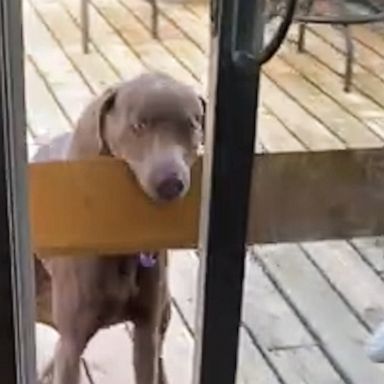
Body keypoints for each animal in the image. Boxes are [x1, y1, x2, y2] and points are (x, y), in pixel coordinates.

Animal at [33, 73, 204, 384]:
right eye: (138, 126)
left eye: (192, 125)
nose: (171, 183)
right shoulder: (72, 341)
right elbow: (67, 353)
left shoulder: (146, 328)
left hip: (165, 310)